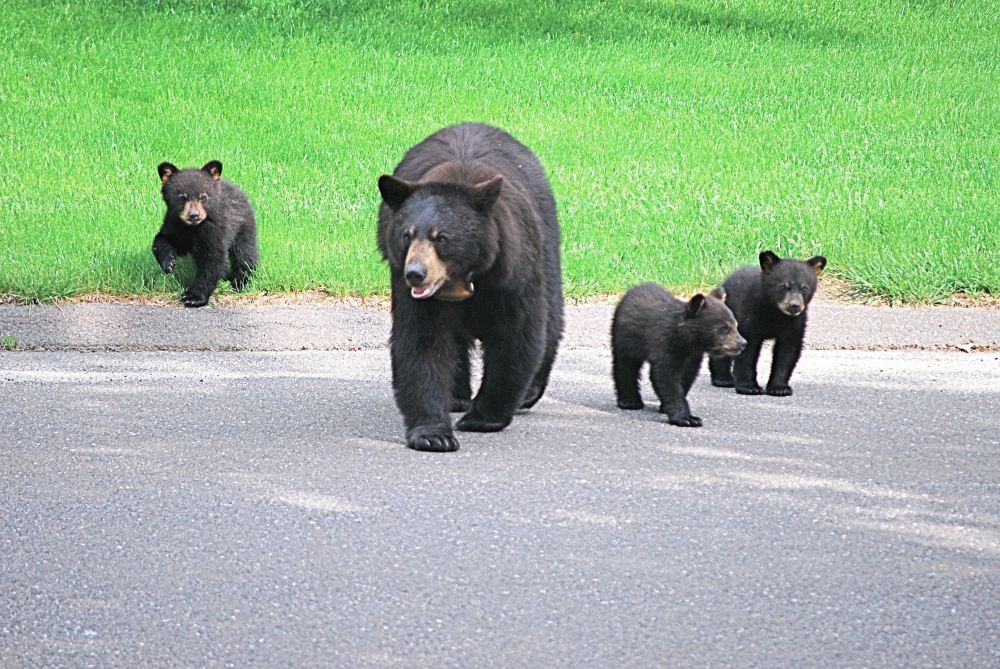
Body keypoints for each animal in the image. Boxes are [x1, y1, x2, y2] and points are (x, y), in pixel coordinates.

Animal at [153, 161, 258, 307]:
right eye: (182, 197)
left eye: (203, 197)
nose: (194, 215)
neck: (192, 228)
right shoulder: (174, 224)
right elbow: (162, 239)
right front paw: (169, 262)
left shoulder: (215, 228)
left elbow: (212, 259)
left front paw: (194, 297)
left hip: (243, 227)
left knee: (244, 255)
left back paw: (239, 283)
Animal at [376, 123, 563, 452]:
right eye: (406, 235)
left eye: (441, 237)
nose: (415, 274)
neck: (461, 279)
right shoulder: (413, 292)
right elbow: (421, 341)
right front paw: (433, 434)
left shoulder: (510, 273)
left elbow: (516, 334)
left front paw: (484, 417)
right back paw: (457, 397)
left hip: (547, 241)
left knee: (551, 316)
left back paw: (528, 392)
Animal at [612, 283, 746, 427]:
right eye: (723, 327)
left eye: (735, 325)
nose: (743, 343)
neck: (685, 340)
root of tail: (634, 289)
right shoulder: (664, 344)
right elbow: (666, 376)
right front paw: (686, 418)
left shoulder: (693, 356)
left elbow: (687, 376)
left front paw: (665, 407)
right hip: (625, 338)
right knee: (625, 366)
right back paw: (629, 402)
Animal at [708, 251, 827, 396]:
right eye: (783, 286)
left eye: (804, 288)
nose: (794, 305)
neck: (774, 312)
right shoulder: (749, 315)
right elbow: (747, 351)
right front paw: (749, 387)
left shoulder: (794, 323)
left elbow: (787, 351)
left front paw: (780, 387)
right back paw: (723, 379)